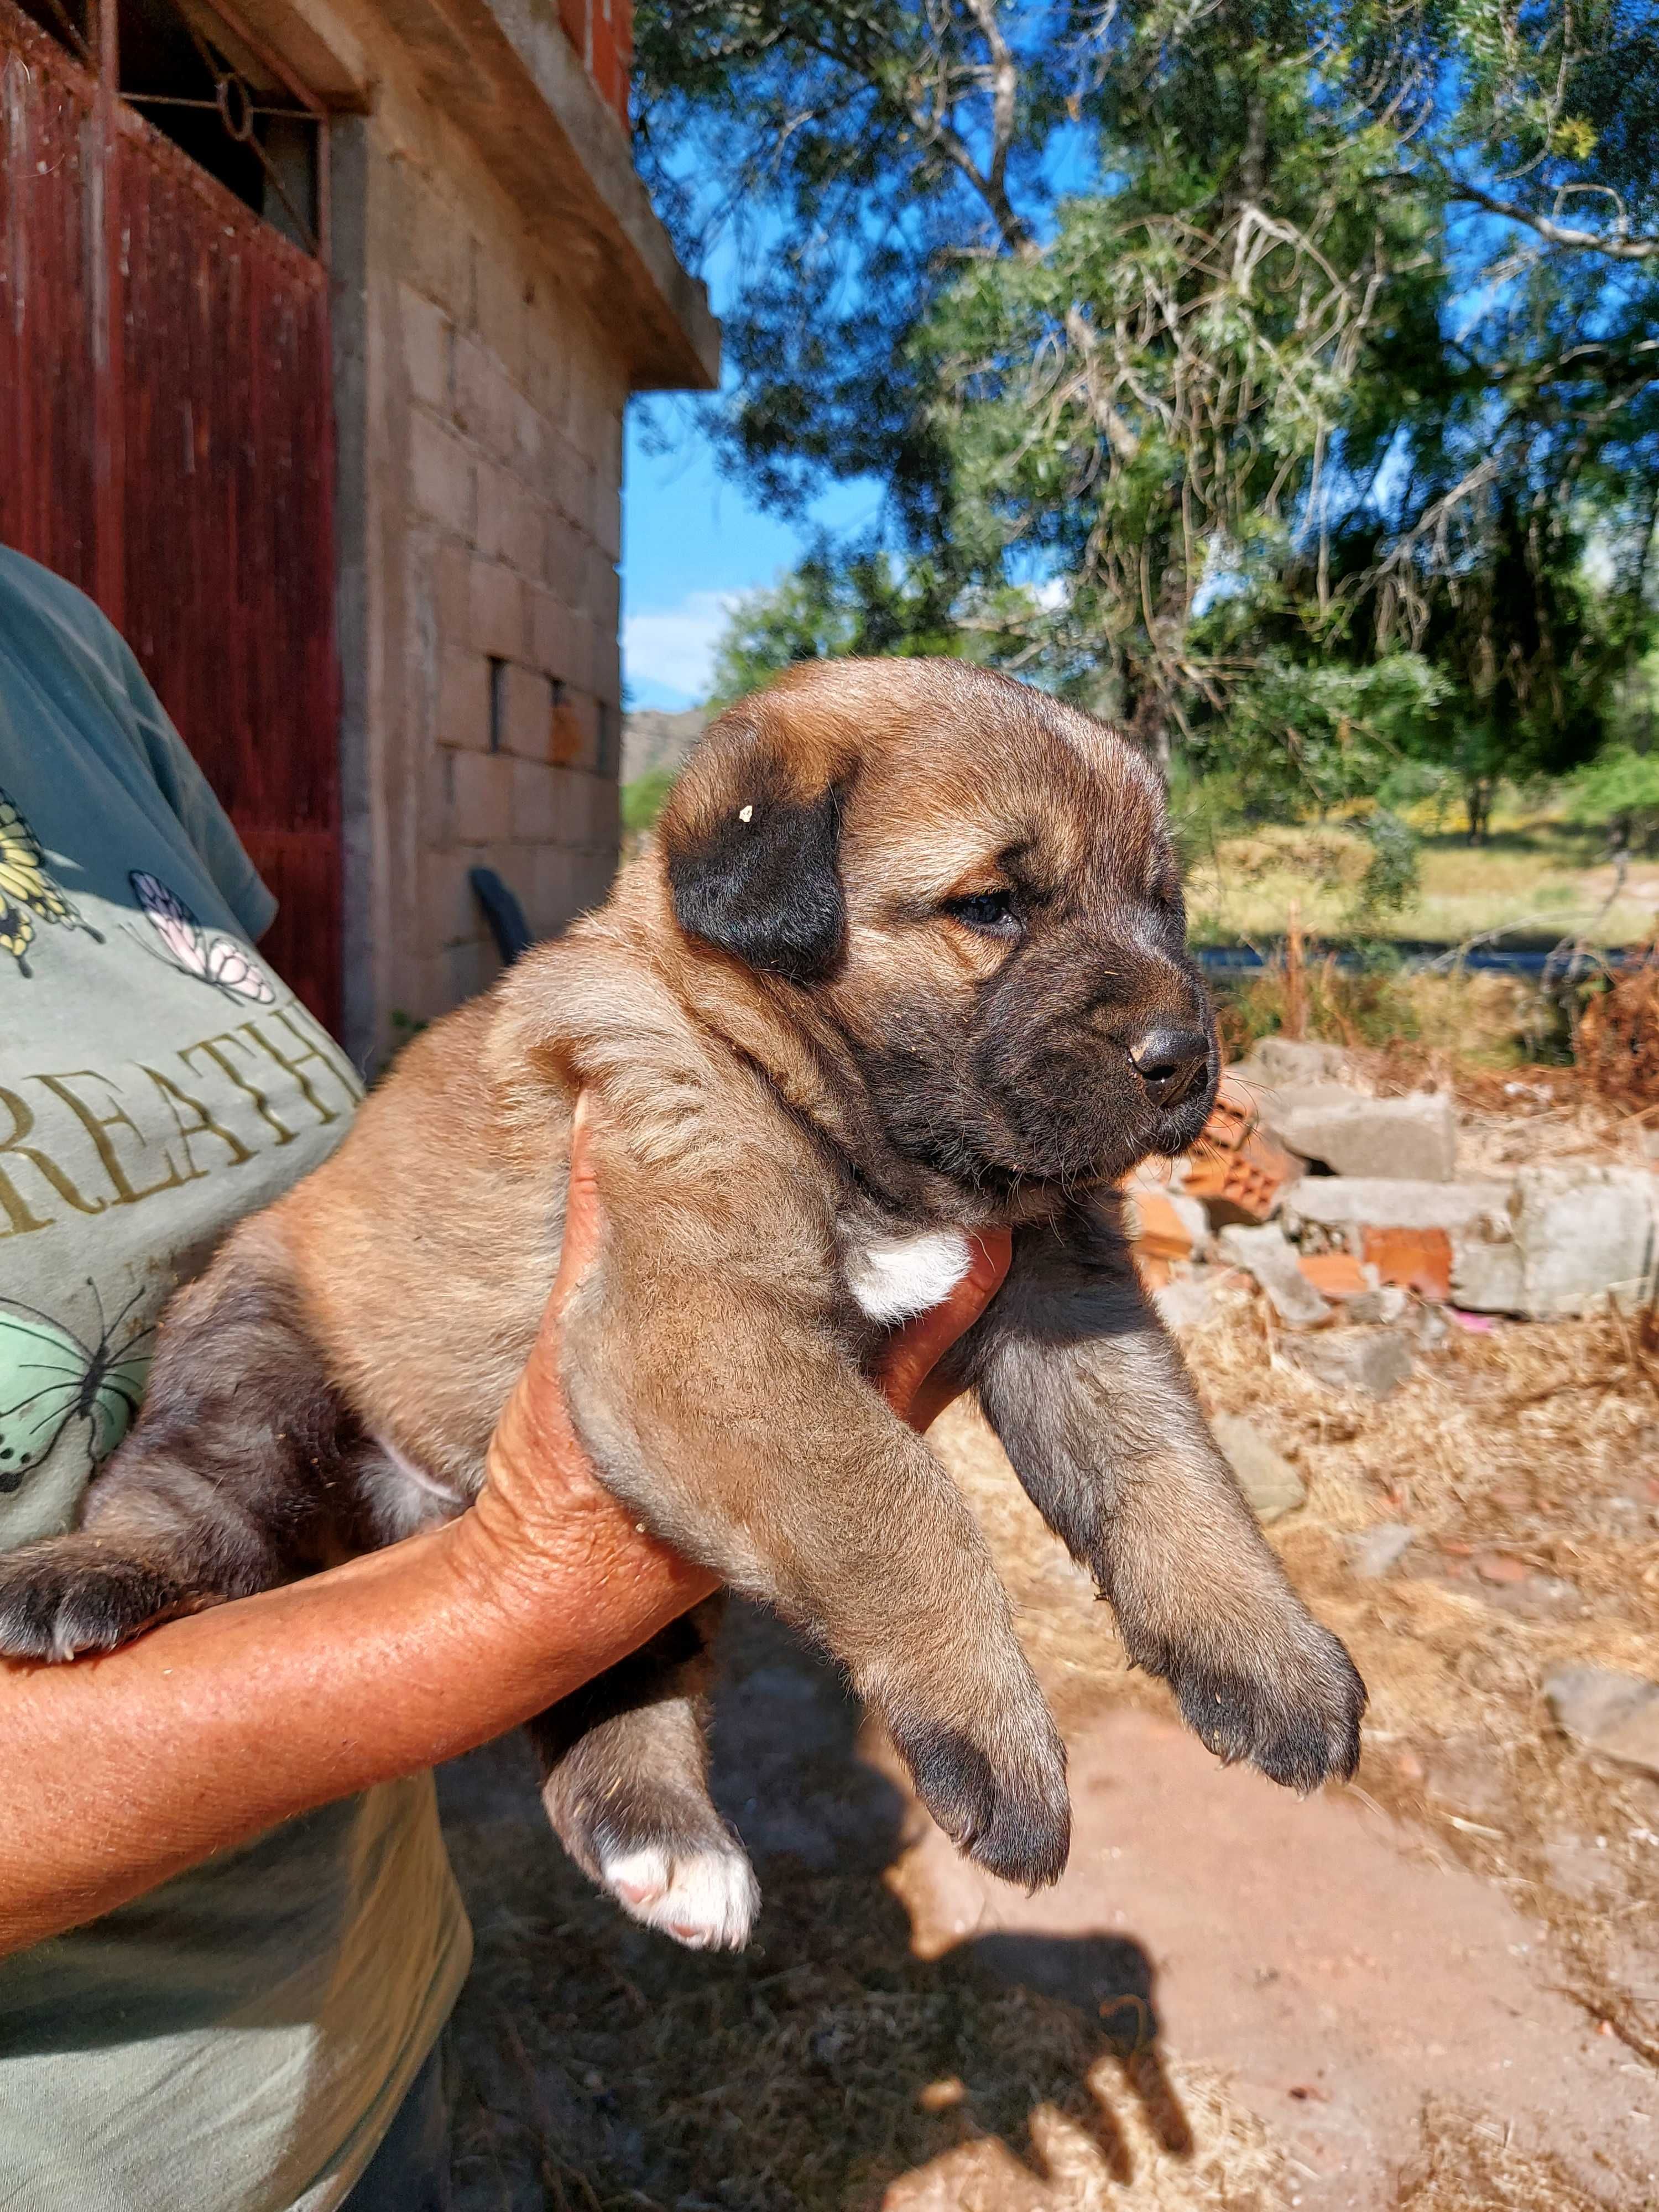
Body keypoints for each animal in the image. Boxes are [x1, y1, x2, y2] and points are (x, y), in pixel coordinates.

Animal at [0, 659, 1371, 1955]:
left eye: (1165, 906)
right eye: (991, 905)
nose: (1185, 1059)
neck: (855, 1131)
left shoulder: (1063, 1290)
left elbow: (1167, 1465)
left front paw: (1268, 1650)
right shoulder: (702, 1331)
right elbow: (905, 1505)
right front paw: (992, 1728)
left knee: (603, 1683)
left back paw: (662, 1833)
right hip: (259, 1339)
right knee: (191, 1493)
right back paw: (83, 1574)